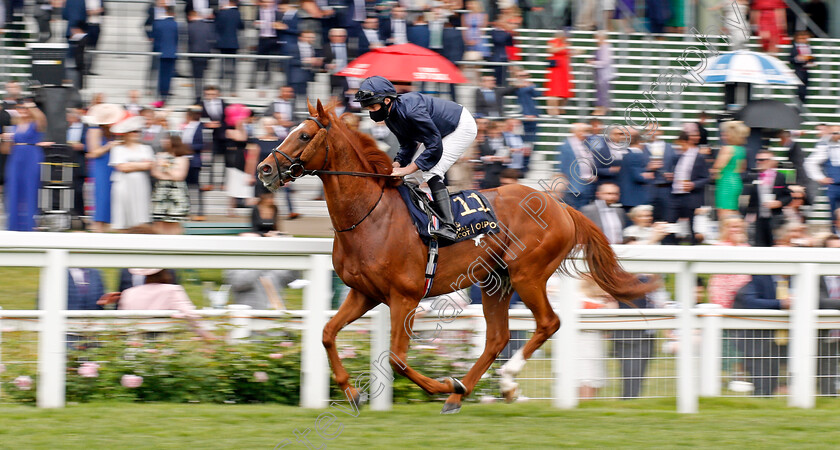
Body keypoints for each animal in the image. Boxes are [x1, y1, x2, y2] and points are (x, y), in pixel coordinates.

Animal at [256, 100, 656, 414]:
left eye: (304, 135)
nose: (264, 169)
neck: (370, 215)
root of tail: (561, 206)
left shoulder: (405, 297)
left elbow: (398, 359)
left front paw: (442, 385)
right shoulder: (364, 293)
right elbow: (326, 333)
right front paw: (353, 393)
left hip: (527, 274)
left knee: (548, 323)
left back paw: (501, 383)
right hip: (496, 282)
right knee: (497, 338)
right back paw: (464, 393)